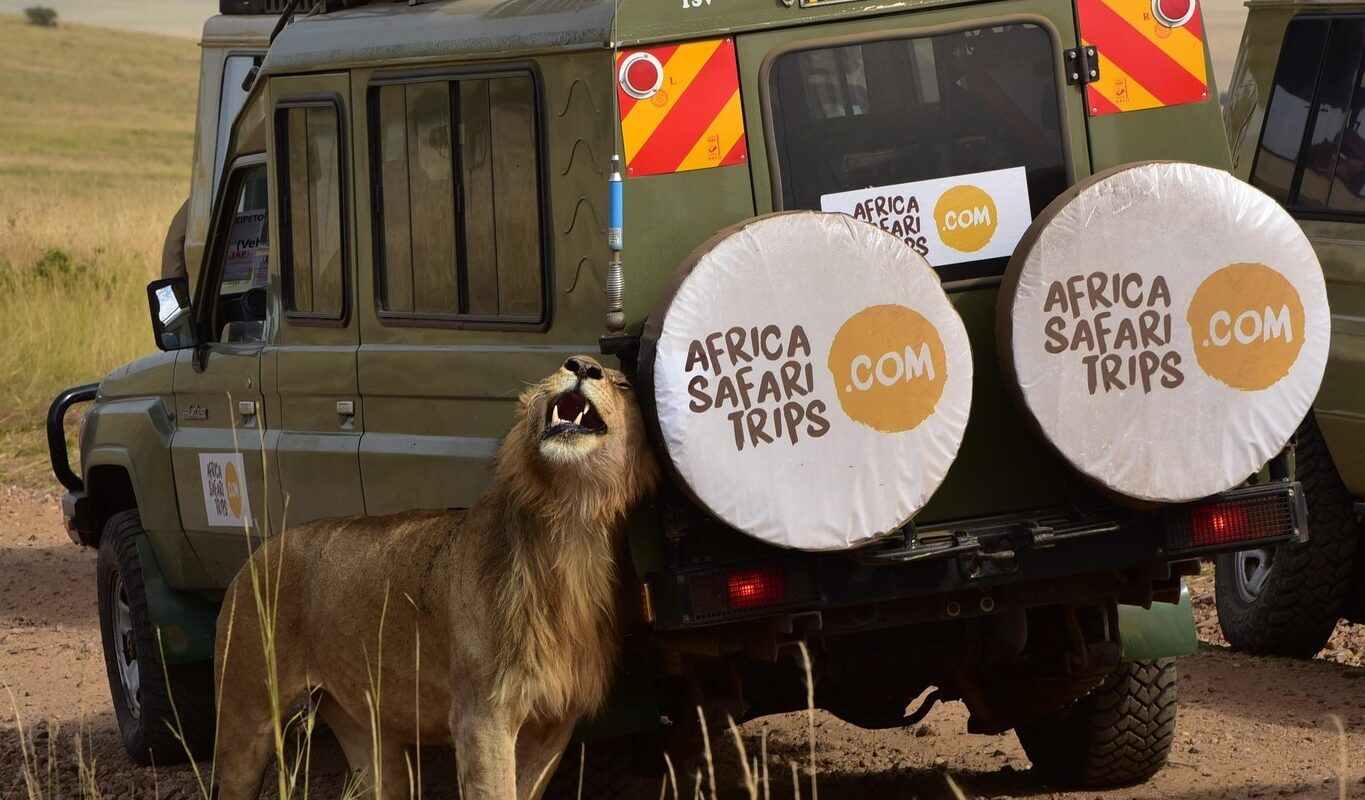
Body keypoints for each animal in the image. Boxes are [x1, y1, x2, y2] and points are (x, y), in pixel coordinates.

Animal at [212, 356, 659, 799]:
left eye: (622, 385)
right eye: (555, 371)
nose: (581, 364)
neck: (569, 521)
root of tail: (253, 557)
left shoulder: (556, 722)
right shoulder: (481, 716)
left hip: (367, 737)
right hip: (244, 720)